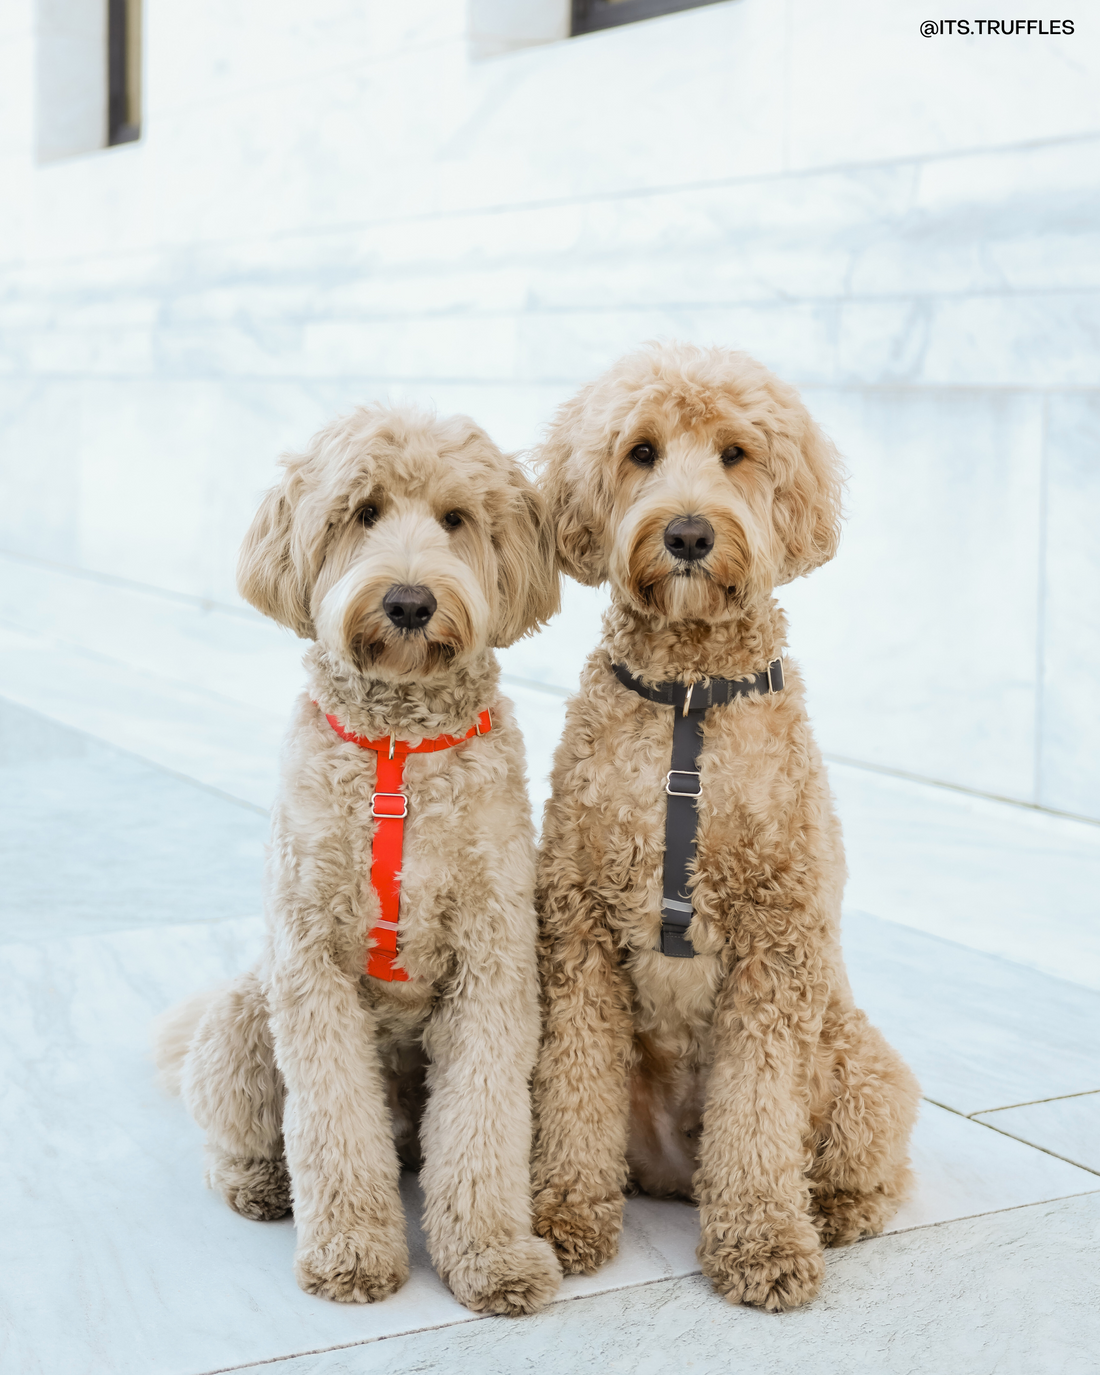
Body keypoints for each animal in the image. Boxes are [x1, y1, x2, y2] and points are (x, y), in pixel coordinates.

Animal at [151, 404, 563, 1309]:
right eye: (364, 511)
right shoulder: (311, 963)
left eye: (455, 518)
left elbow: (481, 1123)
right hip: (245, 1015)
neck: (397, 752)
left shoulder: (493, 959)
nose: (409, 601)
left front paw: (492, 1254)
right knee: (238, 1135)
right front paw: (352, 1250)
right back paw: (258, 1181)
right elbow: (332, 1121)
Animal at [530, 341, 918, 1309]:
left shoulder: (775, 941)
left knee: (869, 1162)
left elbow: (758, 1110)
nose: (689, 535)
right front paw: (562, 1216)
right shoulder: (580, 927)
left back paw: (836, 1211)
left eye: (736, 453)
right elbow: (574, 1086)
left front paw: (764, 1242)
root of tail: (676, 1171)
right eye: (641, 452)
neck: (688, 699)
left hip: (859, 1062)